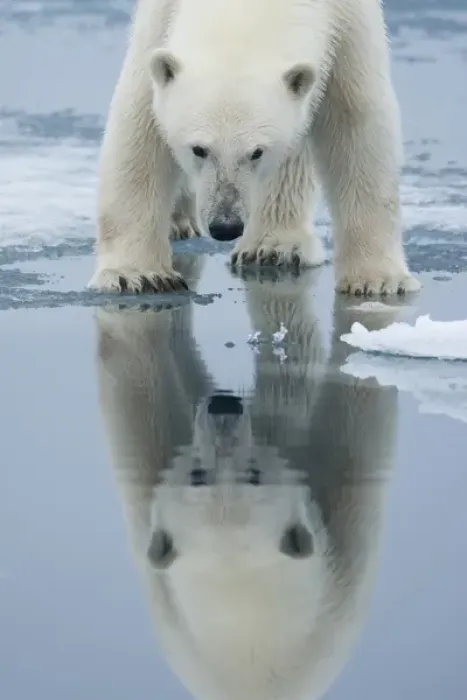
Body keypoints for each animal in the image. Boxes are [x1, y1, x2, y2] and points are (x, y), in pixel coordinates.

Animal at [88, 0, 420, 297]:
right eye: (199, 149)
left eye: (257, 152)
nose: (225, 225)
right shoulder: (159, 24)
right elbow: (139, 128)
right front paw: (138, 275)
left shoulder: (349, 26)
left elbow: (357, 129)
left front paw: (378, 280)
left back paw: (273, 246)